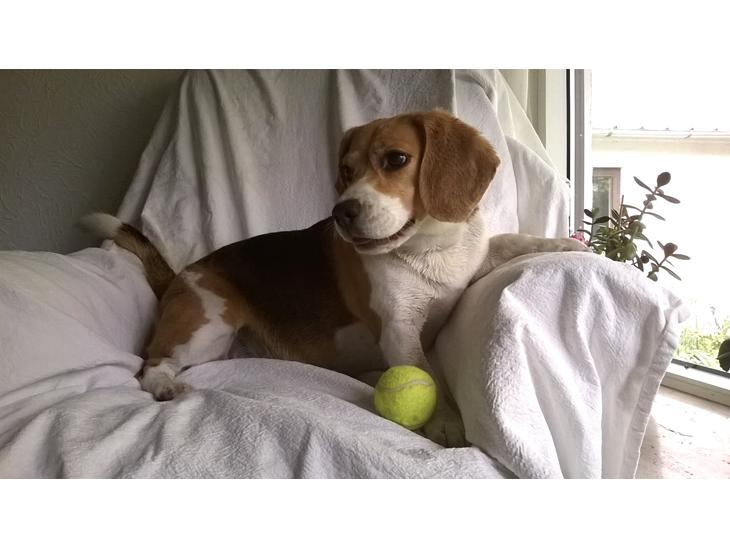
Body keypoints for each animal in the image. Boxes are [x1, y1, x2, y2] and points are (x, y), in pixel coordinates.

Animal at [83, 110, 587, 447]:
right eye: (346, 171)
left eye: (396, 159)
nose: (341, 212)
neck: (429, 248)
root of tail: (179, 275)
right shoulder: (400, 329)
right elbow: (424, 372)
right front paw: (445, 419)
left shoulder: (473, 261)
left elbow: (512, 241)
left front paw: (566, 246)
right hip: (207, 325)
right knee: (150, 362)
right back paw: (164, 385)